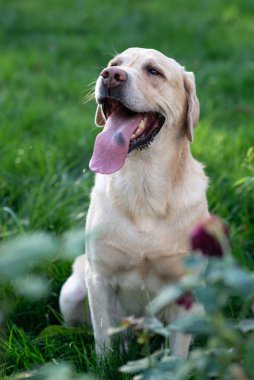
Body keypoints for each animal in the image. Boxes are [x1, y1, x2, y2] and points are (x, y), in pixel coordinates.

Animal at [59, 47, 208, 360]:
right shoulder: (99, 279)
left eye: (154, 71)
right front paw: (103, 364)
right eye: (114, 64)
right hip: (71, 291)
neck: (143, 186)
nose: (111, 76)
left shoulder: (186, 288)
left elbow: (178, 353)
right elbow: (103, 340)